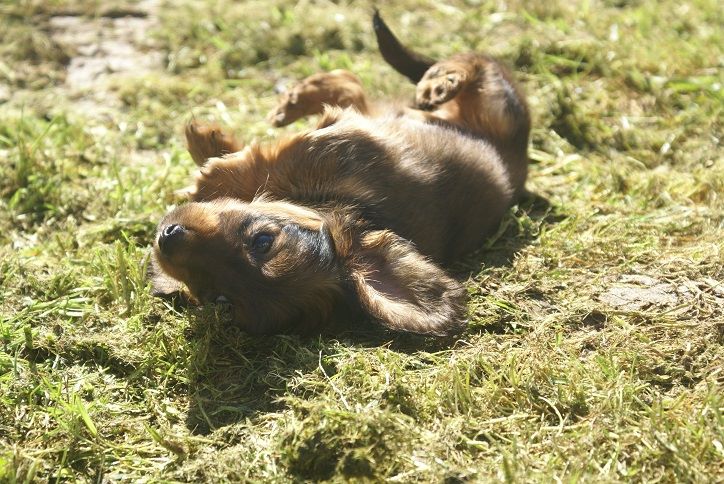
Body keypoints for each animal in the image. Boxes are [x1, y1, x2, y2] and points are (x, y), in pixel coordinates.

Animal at [148, 12, 532, 336]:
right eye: (215, 298)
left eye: (262, 242)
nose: (167, 236)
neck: (356, 205)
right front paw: (213, 146)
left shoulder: (350, 146)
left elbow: (285, 154)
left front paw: (212, 174)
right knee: (353, 84)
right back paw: (298, 99)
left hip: (498, 106)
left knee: (478, 63)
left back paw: (441, 80)